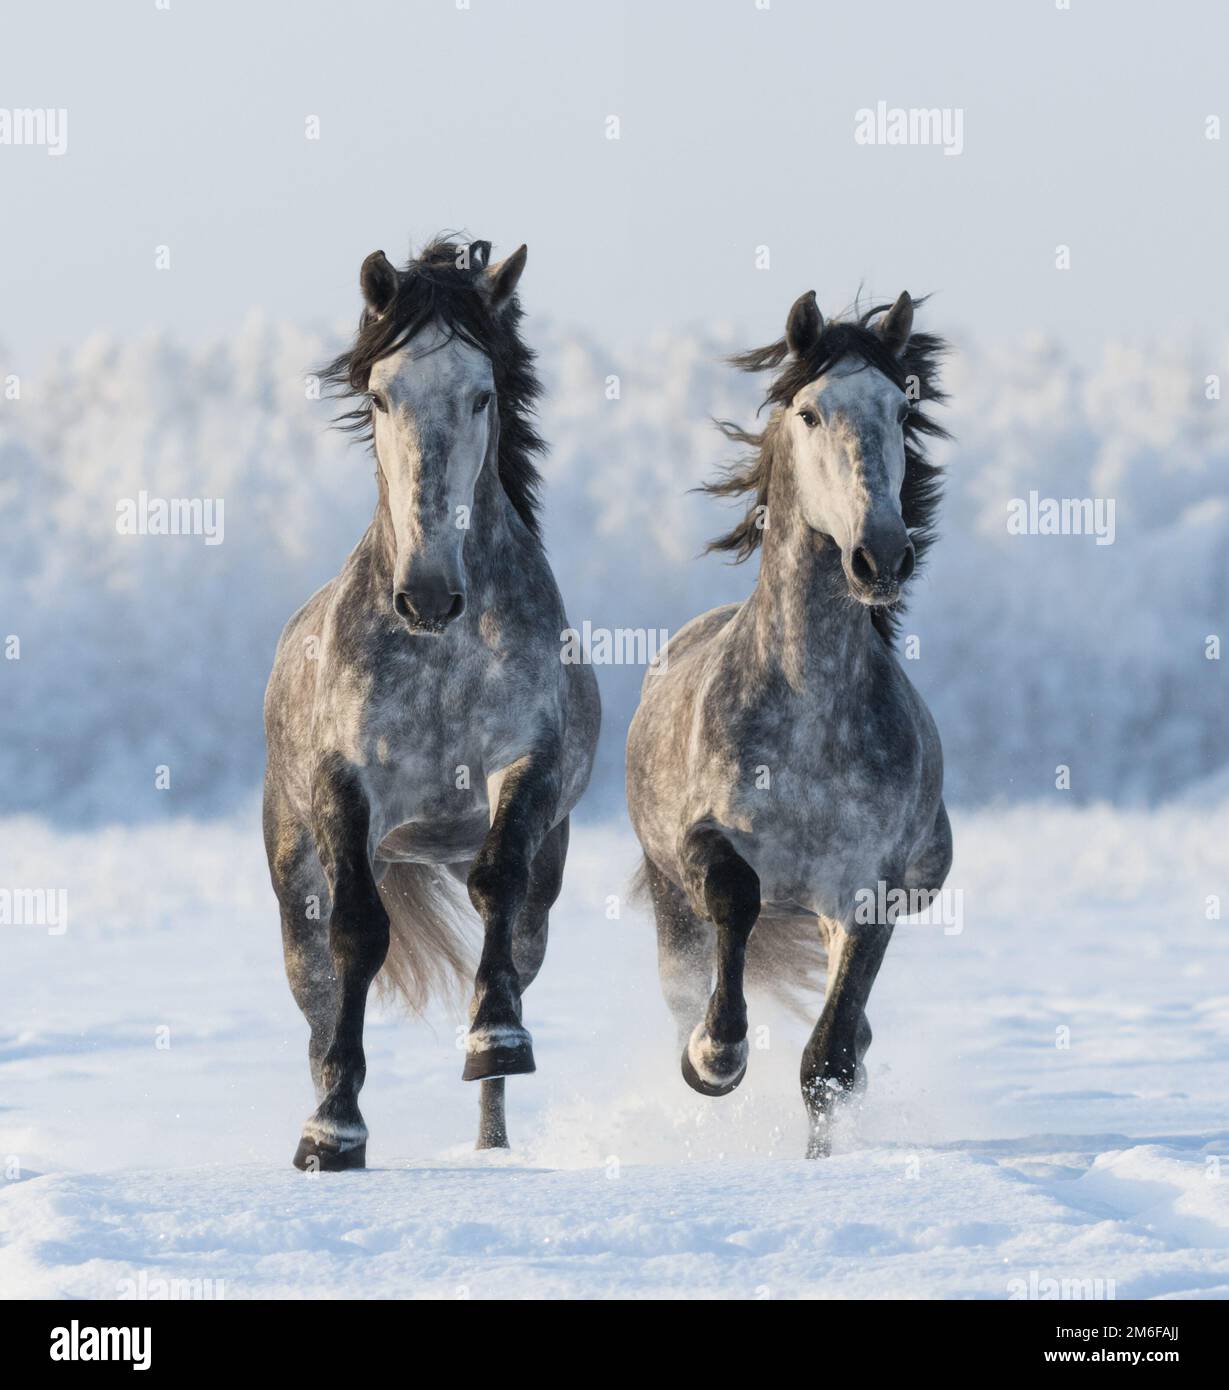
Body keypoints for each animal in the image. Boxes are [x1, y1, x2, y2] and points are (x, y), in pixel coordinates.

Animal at [263, 236, 600, 1169]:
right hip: (295, 876)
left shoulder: (526, 768)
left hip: (534, 880)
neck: (440, 651)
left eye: (481, 393)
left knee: (514, 938)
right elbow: (356, 936)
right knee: (316, 993)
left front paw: (496, 1039)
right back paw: (320, 1124)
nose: (427, 595)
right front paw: (336, 1132)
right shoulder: (345, 789)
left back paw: (490, 1141)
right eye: (381, 394)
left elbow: (497, 883)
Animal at [625, 289, 952, 1157]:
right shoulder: (706, 841)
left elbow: (829, 1058)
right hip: (668, 897)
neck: (810, 714)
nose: (881, 556)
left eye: (900, 410)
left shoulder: (868, 889)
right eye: (809, 412)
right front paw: (715, 1056)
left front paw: (818, 1162)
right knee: (689, 977)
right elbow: (736, 897)